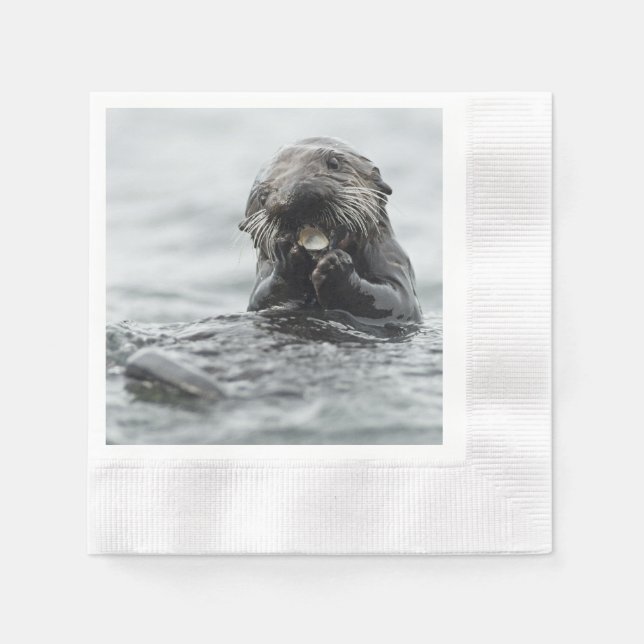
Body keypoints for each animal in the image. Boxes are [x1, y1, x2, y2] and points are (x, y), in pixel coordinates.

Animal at [239, 137, 422, 323]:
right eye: (262, 196)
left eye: (334, 163)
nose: (293, 197)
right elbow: (262, 300)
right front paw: (288, 261)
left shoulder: (393, 259)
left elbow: (397, 300)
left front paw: (336, 265)